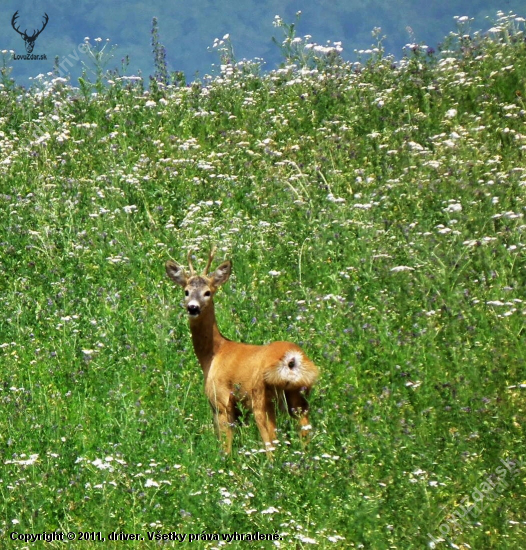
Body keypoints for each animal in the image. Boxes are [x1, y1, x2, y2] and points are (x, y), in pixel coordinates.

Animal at [167, 248, 320, 454]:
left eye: (207, 292)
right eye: (186, 291)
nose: (193, 307)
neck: (214, 354)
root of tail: (292, 358)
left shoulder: (220, 400)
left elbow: (226, 445)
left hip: (261, 398)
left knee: (271, 443)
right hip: (298, 398)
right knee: (305, 434)